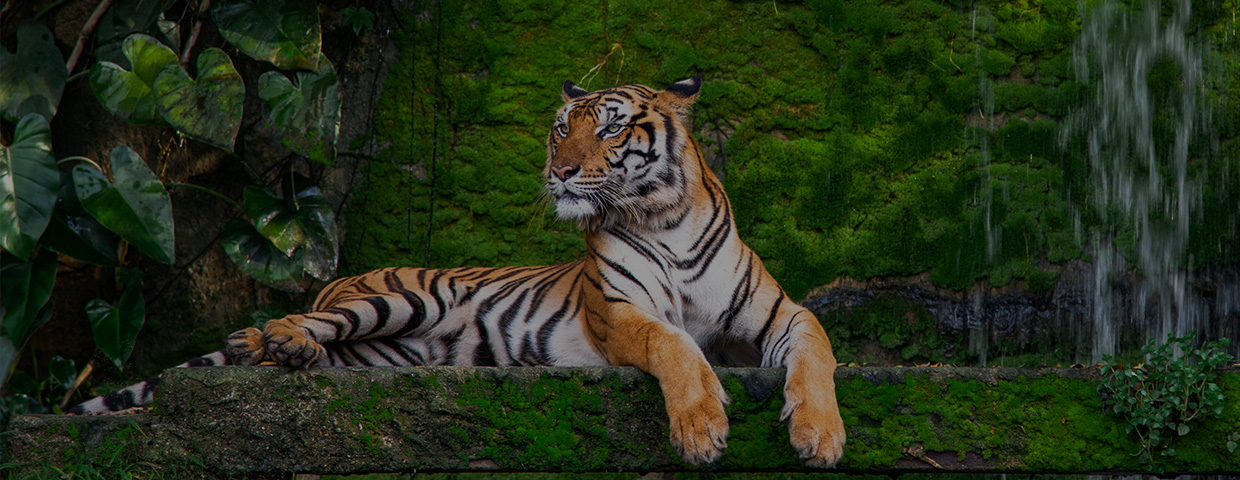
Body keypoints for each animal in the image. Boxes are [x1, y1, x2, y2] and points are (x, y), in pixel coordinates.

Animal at [70, 77, 843, 468]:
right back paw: (271, 340)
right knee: (291, 322)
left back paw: (282, 355)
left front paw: (822, 435)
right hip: (390, 302)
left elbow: (818, 352)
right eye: (562, 127)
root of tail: (339, 279)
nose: (560, 171)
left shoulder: (781, 314)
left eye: (612, 126)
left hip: (381, 353)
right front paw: (702, 429)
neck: (665, 217)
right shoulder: (620, 313)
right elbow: (675, 344)